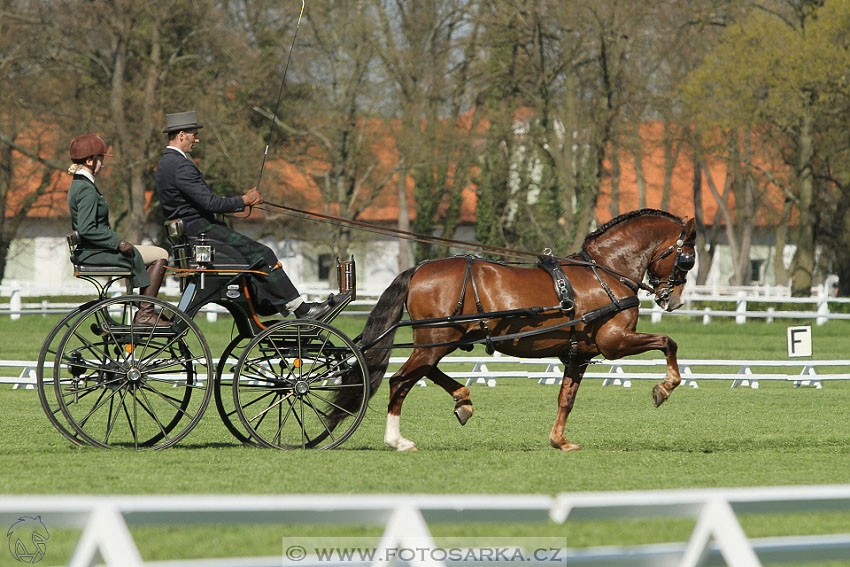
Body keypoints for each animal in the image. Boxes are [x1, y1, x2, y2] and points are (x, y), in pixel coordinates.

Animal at [340, 209, 696, 452]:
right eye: (687, 258)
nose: (674, 300)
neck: (604, 272)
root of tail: (418, 269)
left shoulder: (579, 354)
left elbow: (566, 398)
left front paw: (559, 441)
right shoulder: (614, 342)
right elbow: (668, 342)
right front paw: (665, 387)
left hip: (440, 340)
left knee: (425, 372)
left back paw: (462, 400)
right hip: (436, 339)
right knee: (401, 380)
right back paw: (396, 439)